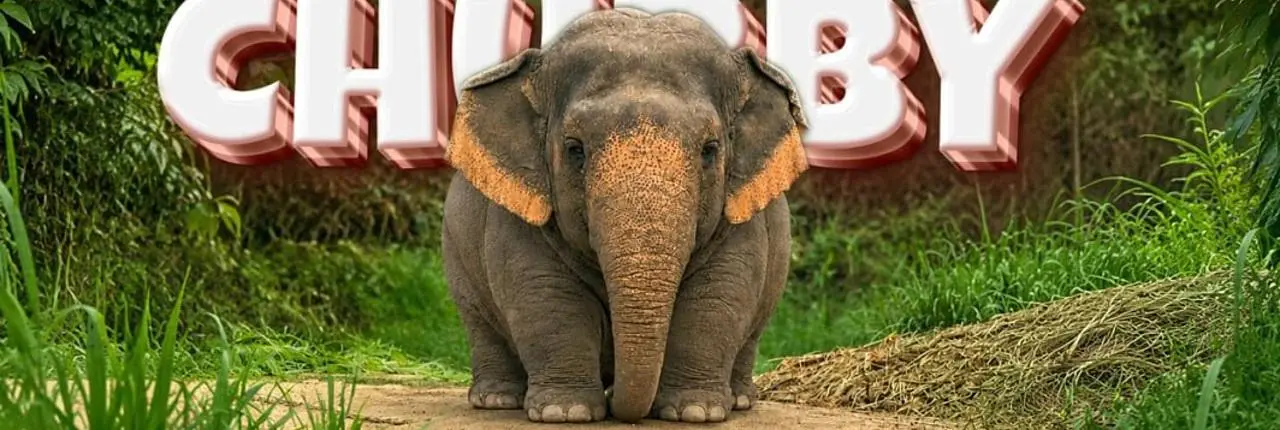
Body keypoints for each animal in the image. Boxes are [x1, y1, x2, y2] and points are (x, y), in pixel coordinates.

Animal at [440, 7, 809, 424]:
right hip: (457, 255)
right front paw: (564, 413)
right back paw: (497, 400)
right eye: (575, 149)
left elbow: (718, 294)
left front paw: (695, 412)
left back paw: (741, 400)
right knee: (480, 323)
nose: (618, 400)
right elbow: (546, 294)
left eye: (710, 150)